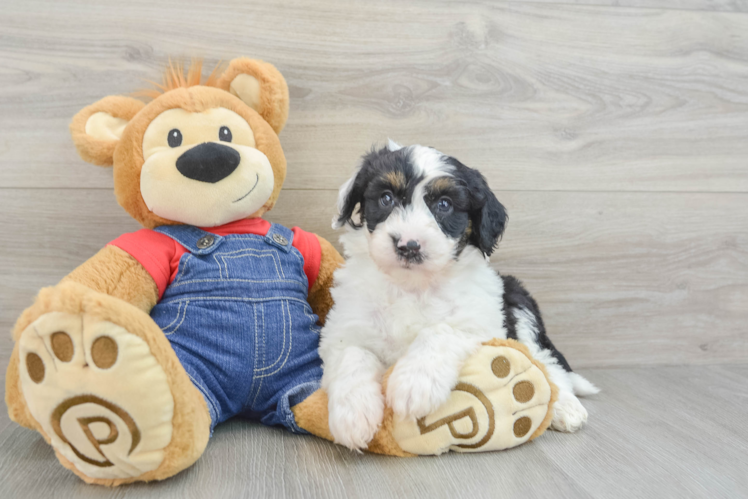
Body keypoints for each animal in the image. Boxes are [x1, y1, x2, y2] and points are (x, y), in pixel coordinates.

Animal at [318, 143, 600, 452]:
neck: (412, 285)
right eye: (386, 198)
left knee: (547, 363)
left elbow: (440, 330)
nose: (408, 245)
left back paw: (565, 407)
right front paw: (354, 414)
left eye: (444, 204)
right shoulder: (345, 326)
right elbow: (351, 354)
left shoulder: (480, 319)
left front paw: (414, 383)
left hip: (518, 302)